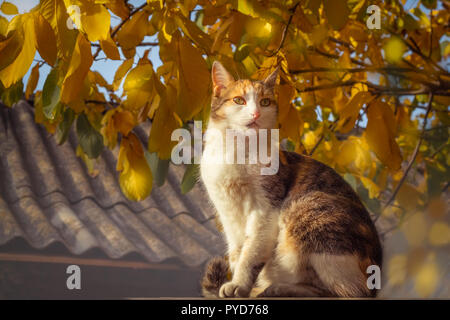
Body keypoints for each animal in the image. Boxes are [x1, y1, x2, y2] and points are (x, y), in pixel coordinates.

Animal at [202, 60, 382, 298]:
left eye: (265, 102)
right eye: (239, 100)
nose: (256, 113)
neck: (236, 151)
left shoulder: (265, 210)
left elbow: (251, 253)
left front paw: (239, 285)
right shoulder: (227, 214)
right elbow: (237, 253)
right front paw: (239, 284)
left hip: (306, 211)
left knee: (343, 293)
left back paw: (278, 288)